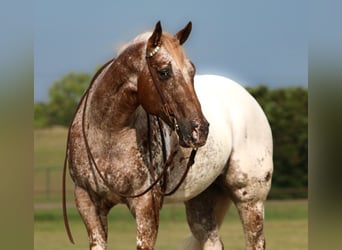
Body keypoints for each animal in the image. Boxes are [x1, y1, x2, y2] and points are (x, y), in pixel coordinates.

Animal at [62, 21, 274, 250]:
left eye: (192, 71)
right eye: (163, 72)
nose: (200, 129)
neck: (107, 135)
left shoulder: (146, 206)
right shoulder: (88, 204)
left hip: (250, 199)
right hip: (201, 201)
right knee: (213, 242)